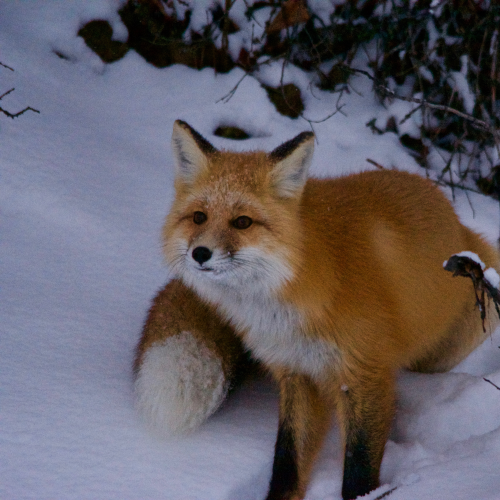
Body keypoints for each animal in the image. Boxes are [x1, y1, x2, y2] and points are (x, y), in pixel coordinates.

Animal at [135, 121, 498, 500]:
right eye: (199, 217)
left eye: (243, 222)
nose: (200, 253)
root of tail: (455, 218)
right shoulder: (298, 372)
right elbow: (288, 459)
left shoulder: (364, 373)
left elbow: (358, 465)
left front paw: (366, 496)